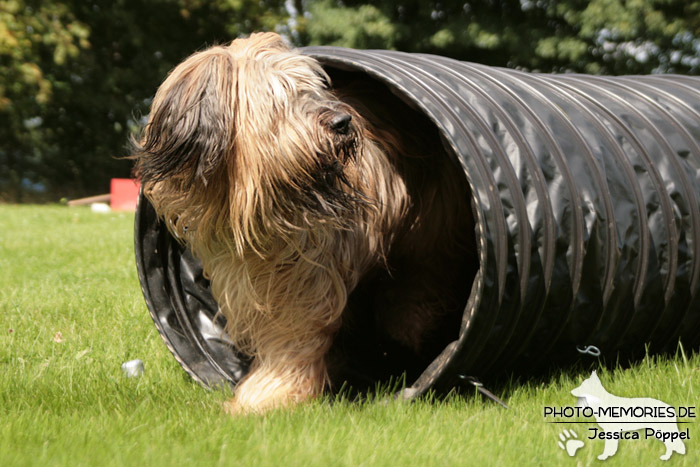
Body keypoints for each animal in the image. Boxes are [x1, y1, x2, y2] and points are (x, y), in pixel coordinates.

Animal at [133, 32, 476, 414]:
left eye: (313, 89)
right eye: (281, 99)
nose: (343, 121)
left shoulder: (303, 276)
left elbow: (291, 332)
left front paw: (267, 394)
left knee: (421, 282)